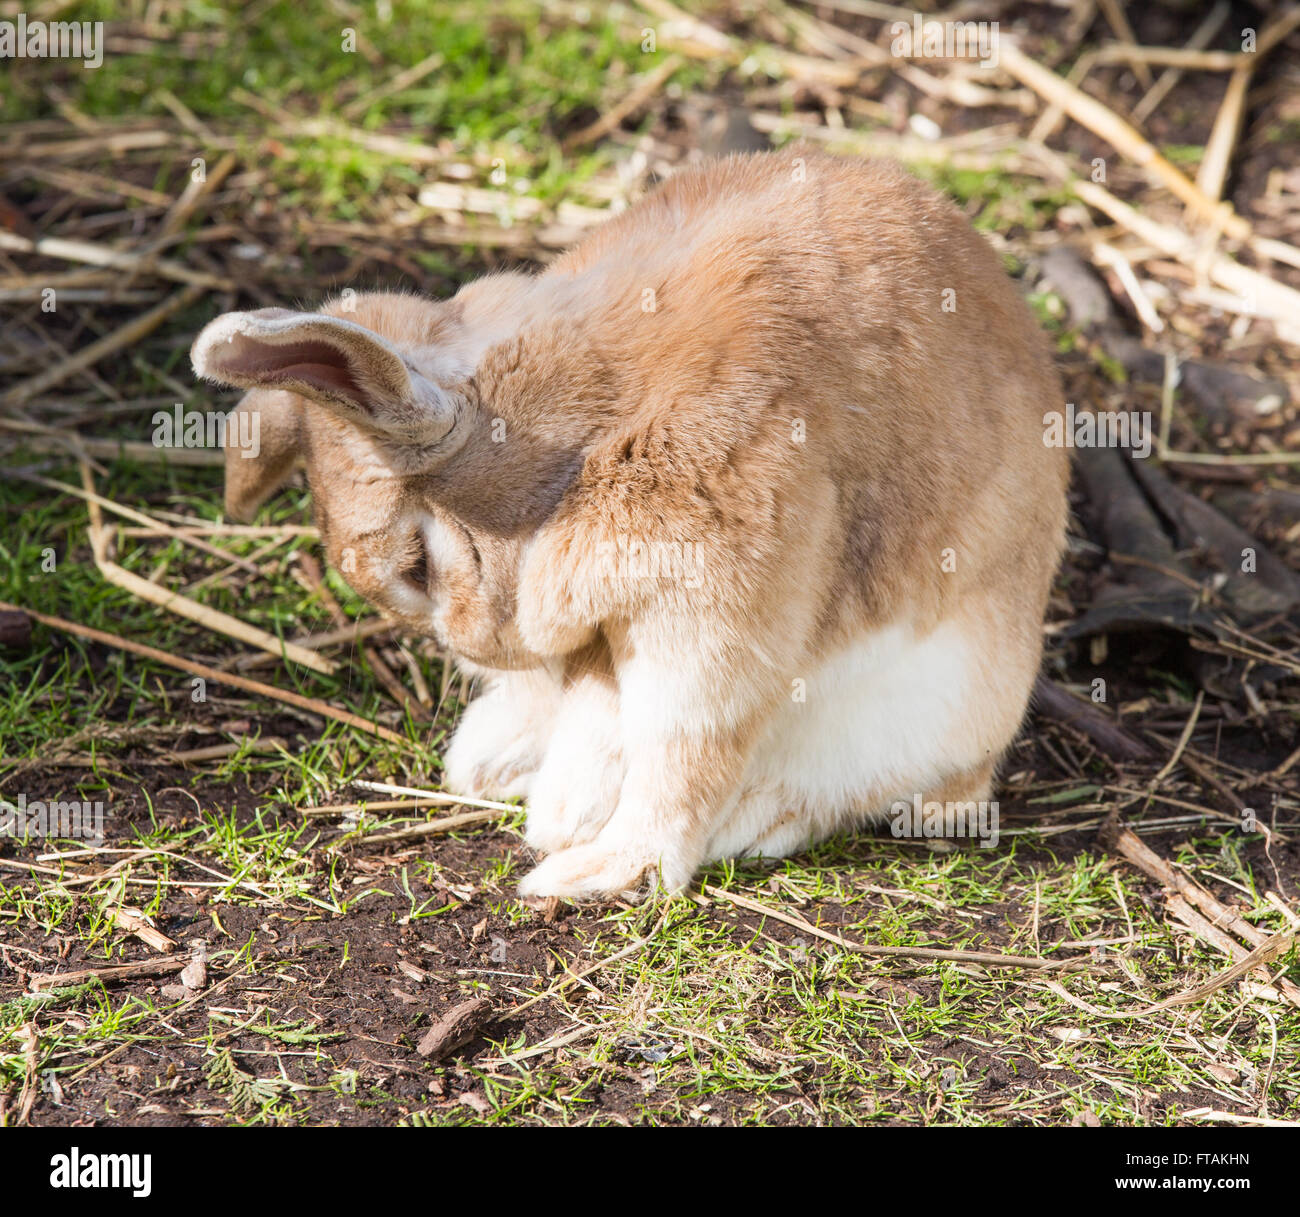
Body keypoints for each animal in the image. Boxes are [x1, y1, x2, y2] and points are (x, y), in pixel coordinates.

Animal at [189, 147, 1066, 899]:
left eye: (420, 567)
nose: (476, 646)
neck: (577, 433)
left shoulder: (711, 603)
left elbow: (687, 751)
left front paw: (605, 868)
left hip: (931, 705)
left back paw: (736, 816)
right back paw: (502, 764)